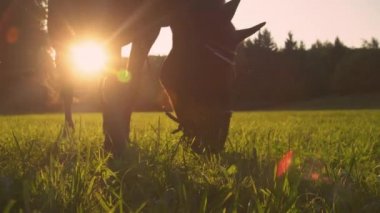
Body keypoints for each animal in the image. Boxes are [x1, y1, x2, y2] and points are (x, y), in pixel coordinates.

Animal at [47, 0, 264, 156]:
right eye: (207, 70)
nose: (214, 145)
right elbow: (112, 85)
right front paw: (113, 142)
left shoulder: (148, 30)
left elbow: (129, 85)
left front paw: (118, 138)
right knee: (68, 86)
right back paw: (68, 135)